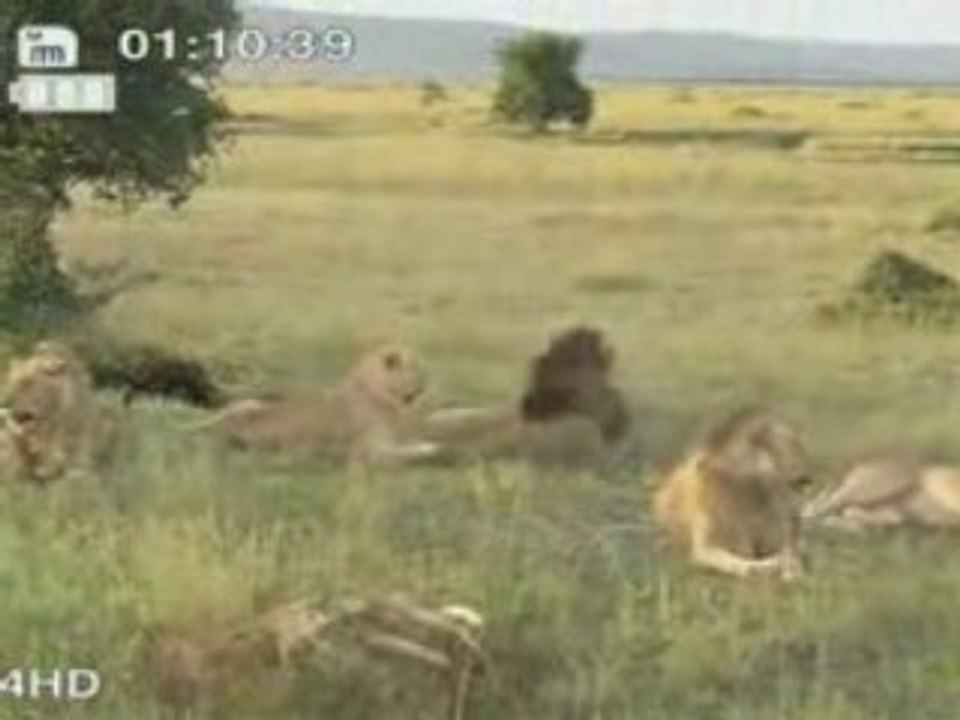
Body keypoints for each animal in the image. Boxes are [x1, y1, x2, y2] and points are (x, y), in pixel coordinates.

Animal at [200, 344, 442, 467]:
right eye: (417, 369)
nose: (427, 384)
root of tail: (219, 427)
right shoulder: (374, 450)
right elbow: (414, 450)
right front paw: (431, 448)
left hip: (249, 401)